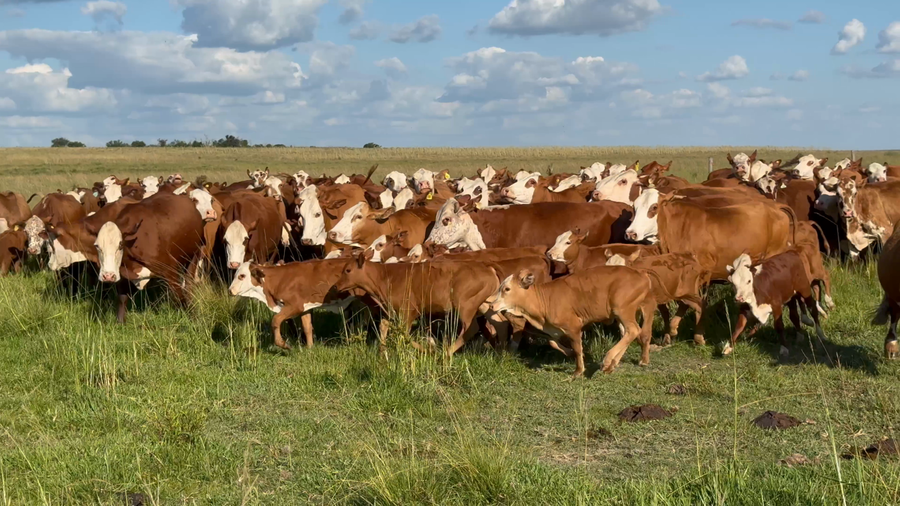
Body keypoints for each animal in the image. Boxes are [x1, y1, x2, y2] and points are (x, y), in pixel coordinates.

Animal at [490, 266, 656, 376]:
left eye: (507, 289)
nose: (492, 305)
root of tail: (640, 273)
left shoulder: (574, 326)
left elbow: (577, 348)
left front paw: (578, 371)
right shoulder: (554, 330)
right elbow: (553, 342)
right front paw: (571, 354)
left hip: (622, 309)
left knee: (634, 330)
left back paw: (608, 360)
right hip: (621, 314)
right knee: (628, 333)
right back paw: (612, 365)